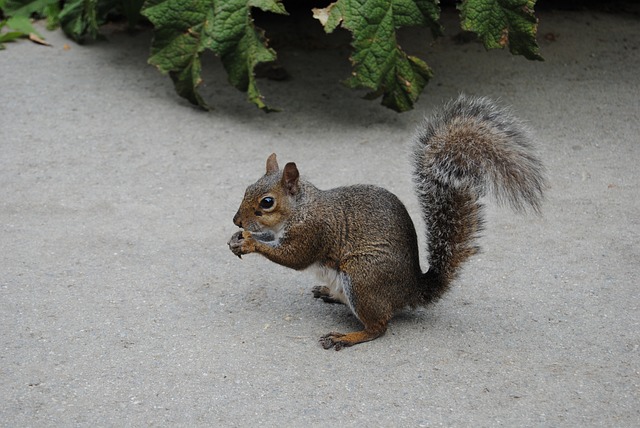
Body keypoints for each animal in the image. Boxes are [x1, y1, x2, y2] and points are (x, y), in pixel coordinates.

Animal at [226, 95, 544, 350]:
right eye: (247, 187)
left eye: (267, 202)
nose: (236, 219)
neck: (301, 208)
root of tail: (410, 290)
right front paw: (237, 238)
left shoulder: (314, 231)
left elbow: (294, 257)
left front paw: (250, 242)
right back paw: (329, 294)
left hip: (362, 277)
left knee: (379, 327)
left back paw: (346, 337)